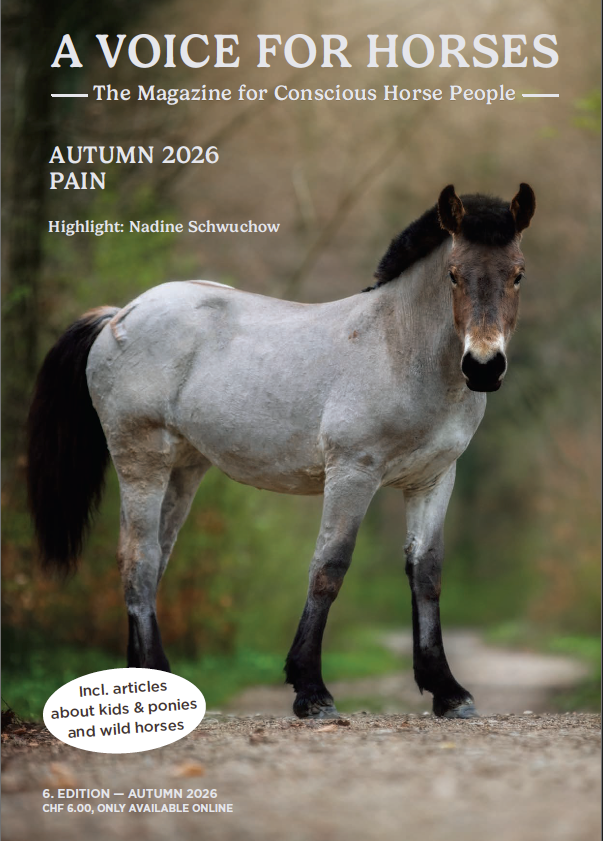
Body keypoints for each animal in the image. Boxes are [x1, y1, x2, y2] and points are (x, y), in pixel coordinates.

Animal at [27, 183, 535, 719]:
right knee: (138, 558)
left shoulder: (433, 479)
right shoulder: (353, 472)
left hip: (184, 469)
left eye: (518, 273)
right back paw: (157, 682)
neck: (400, 348)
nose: (483, 367)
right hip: (141, 459)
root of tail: (119, 314)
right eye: (453, 274)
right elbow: (329, 568)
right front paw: (311, 690)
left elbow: (427, 573)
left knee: (157, 558)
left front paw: (447, 690)